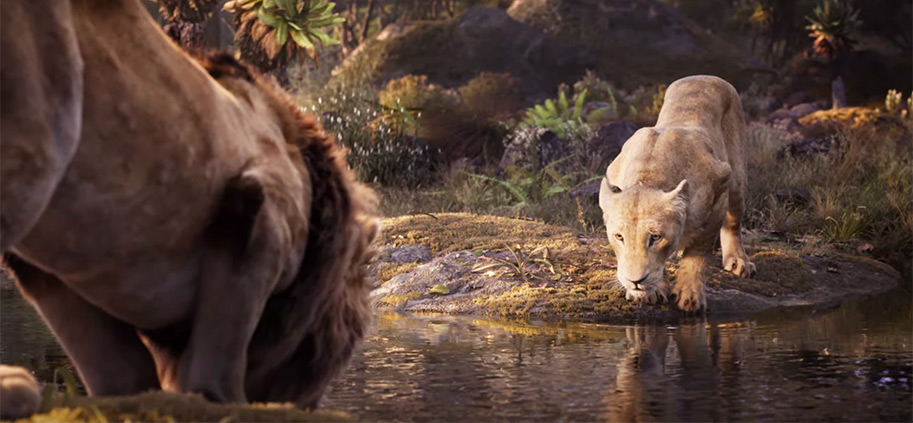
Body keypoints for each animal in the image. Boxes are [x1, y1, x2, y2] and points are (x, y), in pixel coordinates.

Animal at [1, 0, 378, 411]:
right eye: (351, 333)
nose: (311, 399)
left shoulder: (55, 277)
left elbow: (118, 372)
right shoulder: (263, 223)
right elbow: (216, 364)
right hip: (41, 130)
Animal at [599, 75, 756, 313]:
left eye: (655, 237)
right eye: (619, 237)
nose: (635, 281)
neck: (648, 176)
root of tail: (705, 76)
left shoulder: (719, 186)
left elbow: (698, 252)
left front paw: (689, 295)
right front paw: (650, 291)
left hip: (737, 178)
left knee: (734, 222)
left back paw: (739, 261)